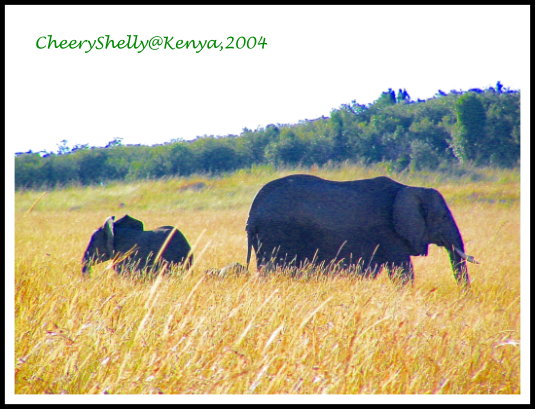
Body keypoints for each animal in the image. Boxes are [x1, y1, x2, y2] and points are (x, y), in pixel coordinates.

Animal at [246, 174, 478, 286]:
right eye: (443, 217)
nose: (464, 296)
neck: (409, 188)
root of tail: (253, 213)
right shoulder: (389, 233)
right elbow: (402, 271)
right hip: (276, 235)